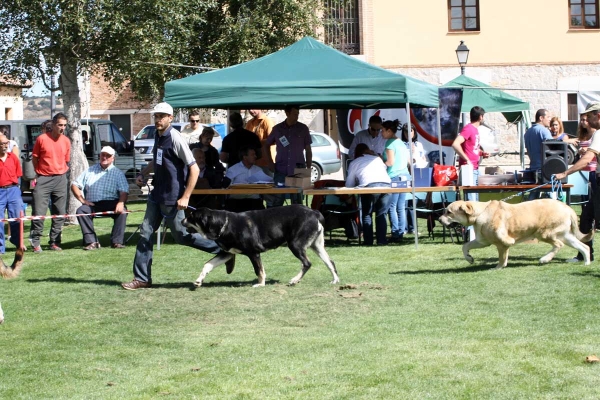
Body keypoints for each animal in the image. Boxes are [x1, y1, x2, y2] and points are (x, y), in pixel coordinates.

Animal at [183, 205, 340, 286]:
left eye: (191, 216)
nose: (182, 221)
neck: (225, 225)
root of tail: (314, 212)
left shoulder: (254, 253)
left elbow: (259, 270)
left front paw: (261, 284)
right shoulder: (227, 253)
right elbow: (208, 265)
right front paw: (199, 280)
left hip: (295, 245)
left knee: (307, 263)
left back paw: (295, 280)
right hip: (317, 246)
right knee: (330, 262)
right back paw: (335, 280)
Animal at [438, 199, 592, 268]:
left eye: (449, 212)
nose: (439, 219)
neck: (480, 213)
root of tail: (567, 207)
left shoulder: (503, 242)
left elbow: (502, 257)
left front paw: (499, 267)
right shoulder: (482, 241)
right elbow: (465, 246)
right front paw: (469, 258)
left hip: (544, 233)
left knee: (558, 245)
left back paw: (544, 259)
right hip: (566, 236)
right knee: (585, 247)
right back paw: (586, 262)